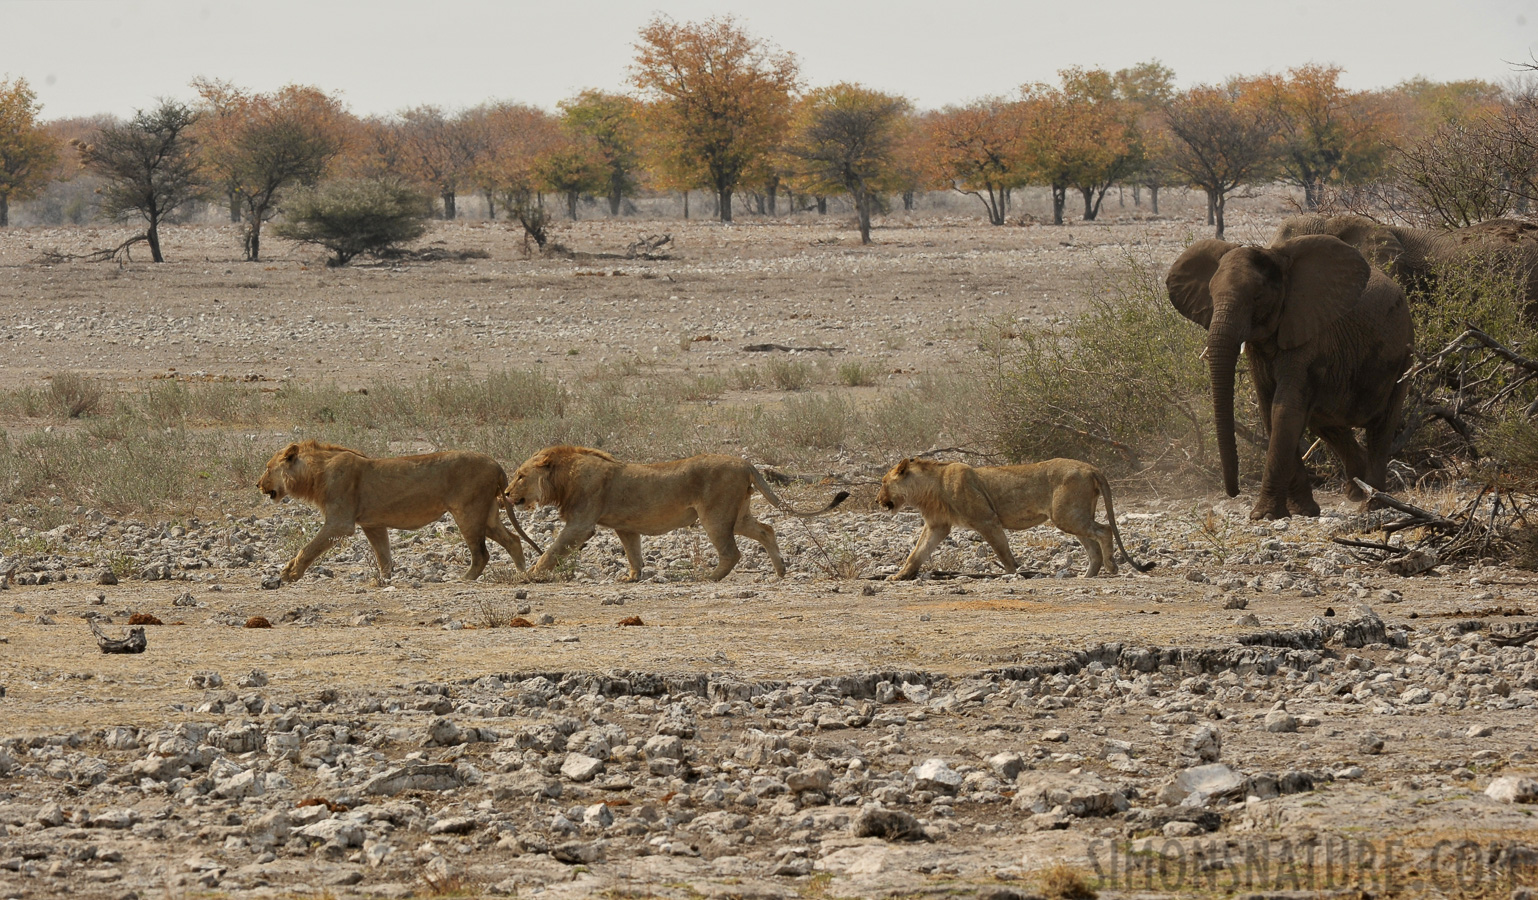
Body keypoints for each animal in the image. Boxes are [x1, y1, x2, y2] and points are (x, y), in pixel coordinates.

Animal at [255, 440, 538, 581]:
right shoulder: (373, 524)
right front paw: (385, 580)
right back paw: (522, 572)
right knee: (513, 540)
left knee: (481, 553)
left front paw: (289, 573)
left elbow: (309, 548)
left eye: (268, 468)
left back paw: (465, 578)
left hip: (468, 513)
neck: (315, 473)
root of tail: (495, 464)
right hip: (486, 516)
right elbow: (384, 556)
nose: (258, 484)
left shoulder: (340, 523)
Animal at [507, 443, 855, 581]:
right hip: (738, 515)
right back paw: (781, 570)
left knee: (732, 552)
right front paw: (632, 577)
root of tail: (744, 462)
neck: (563, 478)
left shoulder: (581, 524)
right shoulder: (625, 527)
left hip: (714, 515)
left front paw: (531, 573)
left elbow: (553, 550)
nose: (507, 493)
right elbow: (633, 554)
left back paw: (708, 577)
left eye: (520, 475)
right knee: (766, 529)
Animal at [879, 455, 1156, 575]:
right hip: (1071, 516)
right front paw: (900, 576)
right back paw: (1087, 575)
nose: (876, 500)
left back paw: (1111, 567)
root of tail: (1091, 467)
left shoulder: (987, 520)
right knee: (1093, 545)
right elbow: (917, 553)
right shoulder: (937, 526)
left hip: (1066, 515)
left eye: (883, 483)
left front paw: (1013, 572)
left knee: (1104, 531)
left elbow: (1002, 550)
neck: (928, 488)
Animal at [1162, 233, 1414, 520]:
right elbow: (1269, 410)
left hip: (1404, 352)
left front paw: (1264, 516)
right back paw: (1356, 491)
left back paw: (1373, 503)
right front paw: (1301, 511)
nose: (1234, 492)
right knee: (1326, 423)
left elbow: (1284, 410)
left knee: (1381, 427)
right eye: (1211, 297)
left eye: (1258, 297)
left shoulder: (1308, 331)